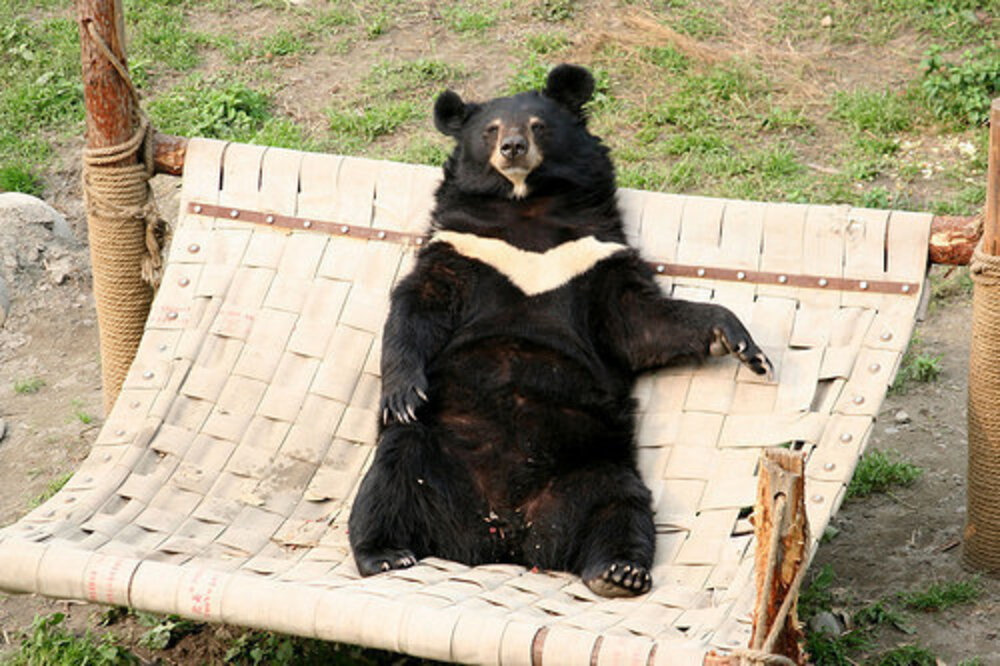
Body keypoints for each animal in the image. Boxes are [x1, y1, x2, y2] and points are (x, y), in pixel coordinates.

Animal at [347, 64, 772, 598]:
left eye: (537, 125)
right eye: (490, 130)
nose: (512, 148)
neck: (526, 209)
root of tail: (502, 535)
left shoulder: (594, 254)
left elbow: (641, 323)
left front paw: (744, 345)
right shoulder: (462, 247)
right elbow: (416, 308)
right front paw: (403, 393)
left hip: (596, 467)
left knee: (621, 509)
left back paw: (619, 572)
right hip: (431, 450)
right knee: (388, 478)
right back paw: (384, 553)